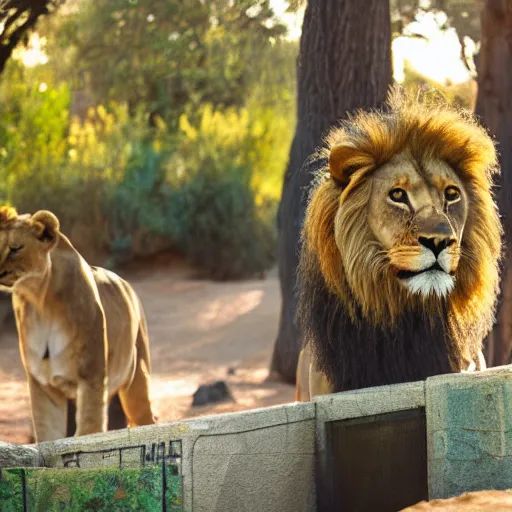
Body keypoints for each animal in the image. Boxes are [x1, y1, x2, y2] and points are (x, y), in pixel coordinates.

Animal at [0, 208, 156, 440]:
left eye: (15, 248)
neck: (40, 301)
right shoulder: (43, 386)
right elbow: (49, 435)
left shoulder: (91, 378)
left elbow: (88, 430)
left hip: (137, 380)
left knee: (146, 418)